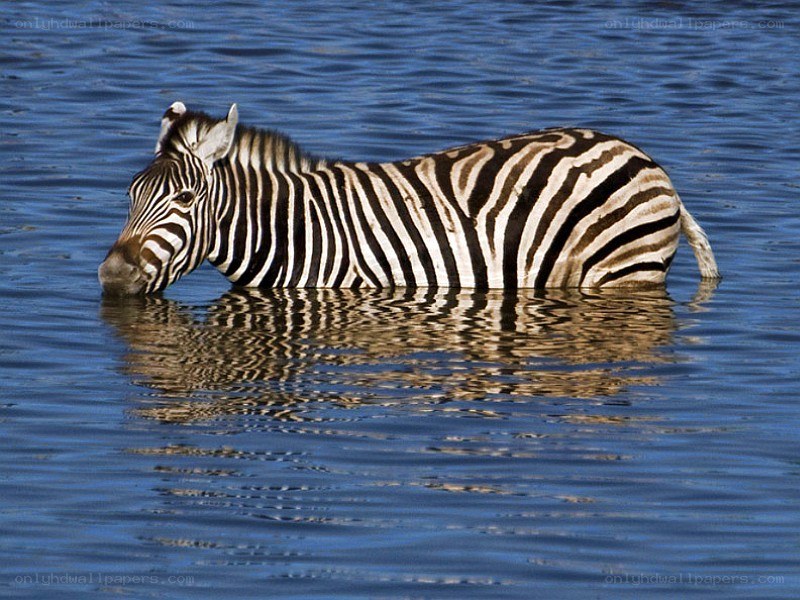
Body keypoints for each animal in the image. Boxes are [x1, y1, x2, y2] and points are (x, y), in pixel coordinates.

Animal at [99, 102, 720, 295]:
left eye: (183, 199)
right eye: (130, 195)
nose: (110, 277)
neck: (295, 227)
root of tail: (646, 159)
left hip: (623, 275)